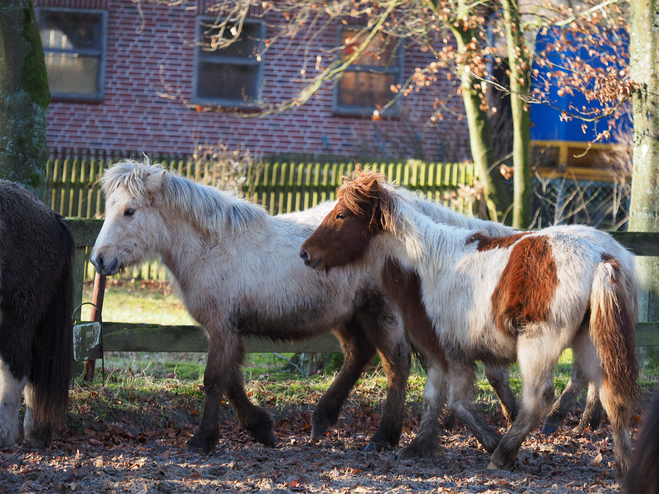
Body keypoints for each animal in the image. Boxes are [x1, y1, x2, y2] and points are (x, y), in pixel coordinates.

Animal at [302, 168, 640, 476]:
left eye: (342, 215)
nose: (305, 253)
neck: (427, 267)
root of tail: (601, 258)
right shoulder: (438, 351)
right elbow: (432, 398)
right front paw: (419, 446)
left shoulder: (455, 353)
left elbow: (458, 403)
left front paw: (490, 444)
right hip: (591, 342)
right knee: (610, 394)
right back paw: (624, 465)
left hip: (537, 345)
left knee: (539, 400)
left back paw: (504, 454)